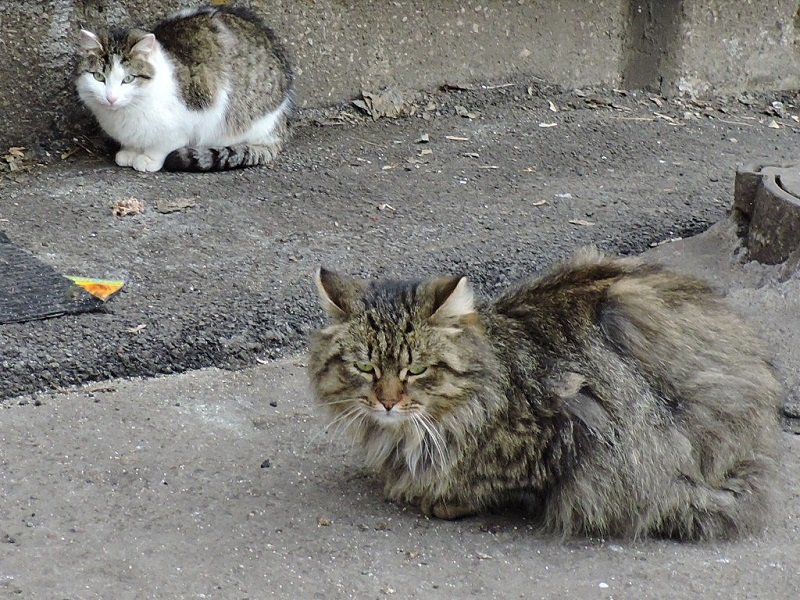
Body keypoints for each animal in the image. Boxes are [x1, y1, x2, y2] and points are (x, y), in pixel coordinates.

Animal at [76, 5, 293, 172]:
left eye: (128, 79)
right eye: (99, 77)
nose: (111, 98)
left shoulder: (194, 114)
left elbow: (164, 144)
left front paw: (148, 159)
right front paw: (130, 152)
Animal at [308, 248, 782, 540]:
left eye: (417, 369)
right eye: (365, 367)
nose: (387, 401)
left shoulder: (565, 426)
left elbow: (503, 485)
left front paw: (440, 498)